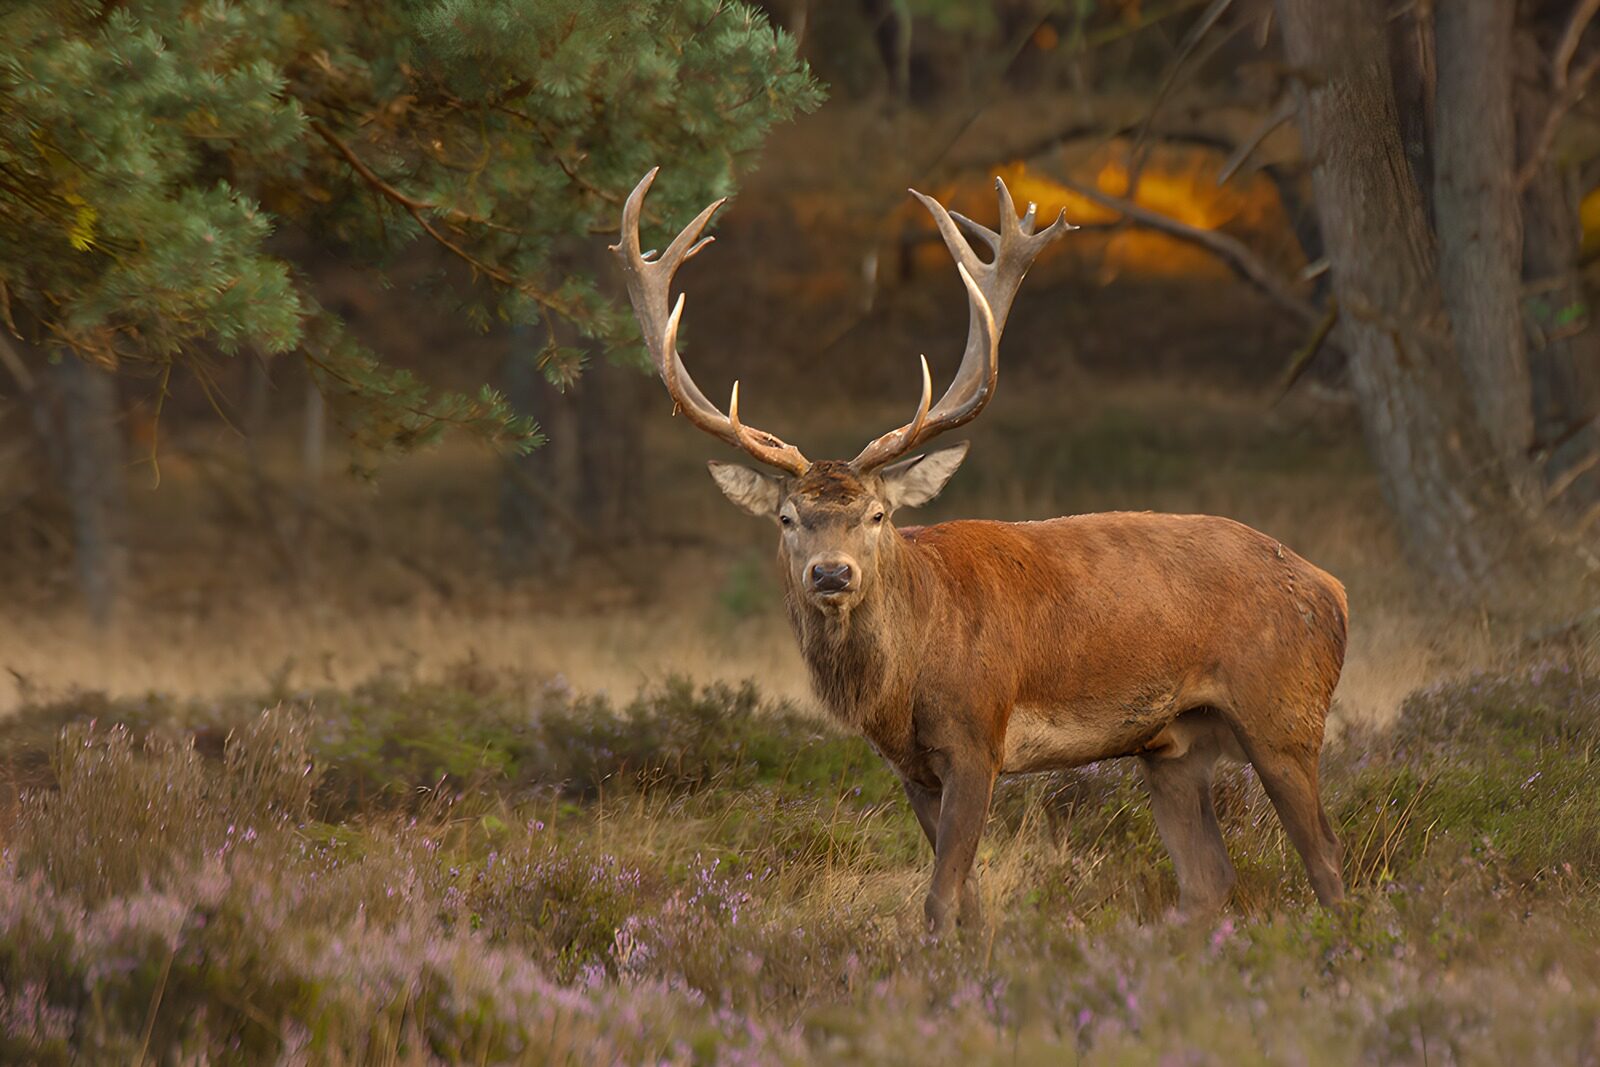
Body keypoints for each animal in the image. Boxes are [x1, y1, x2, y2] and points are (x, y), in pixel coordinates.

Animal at [611, 168, 1349, 933]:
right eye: (788, 517)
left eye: (879, 514)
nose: (832, 572)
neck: (905, 677)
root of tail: (1333, 591)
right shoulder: (910, 767)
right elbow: (966, 898)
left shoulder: (977, 734)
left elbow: (940, 897)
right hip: (1174, 743)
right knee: (1208, 876)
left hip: (1283, 713)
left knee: (1325, 855)